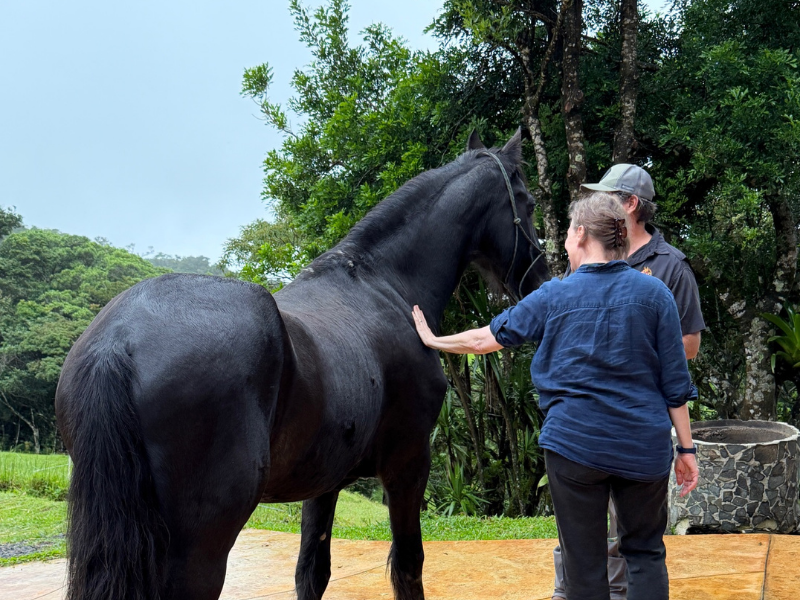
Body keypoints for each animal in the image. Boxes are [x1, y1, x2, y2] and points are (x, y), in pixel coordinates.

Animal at [54, 129, 549, 600]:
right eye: (527, 203)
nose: (541, 277)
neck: (383, 284)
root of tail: (119, 338)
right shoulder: (409, 464)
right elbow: (409, 568)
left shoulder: (325, 480)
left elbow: (313, 572)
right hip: (200, 547)